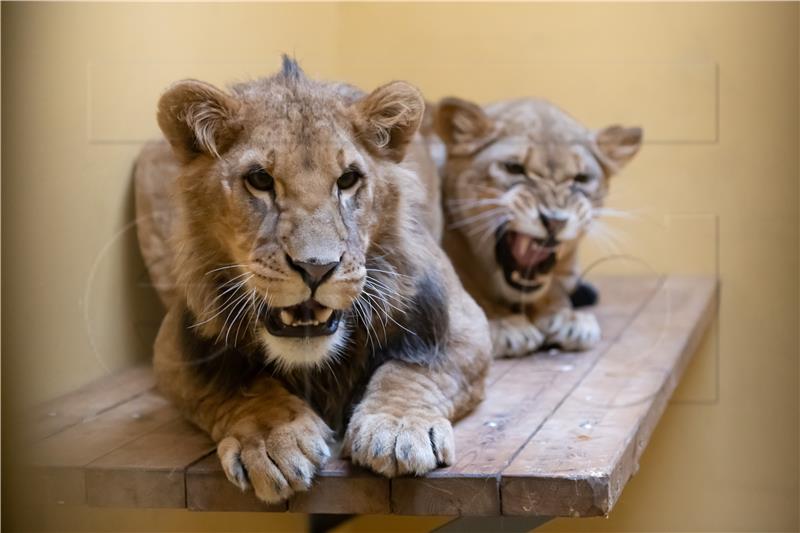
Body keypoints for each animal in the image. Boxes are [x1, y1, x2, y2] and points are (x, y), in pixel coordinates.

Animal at [134, 58, 490, 502]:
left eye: (348, 179)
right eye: (260, 180)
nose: (317, 267)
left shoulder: (464, 322)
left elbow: (415, 369)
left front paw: (397, 429)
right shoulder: (174, 351)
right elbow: (238, 386)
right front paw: (273, 440)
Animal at [434, 98, 640, 360]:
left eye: (581, 178)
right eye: (513, 168)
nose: (555, 220)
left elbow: (554, 290)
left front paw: (567, 318)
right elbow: (465, 287)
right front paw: (504, 325)